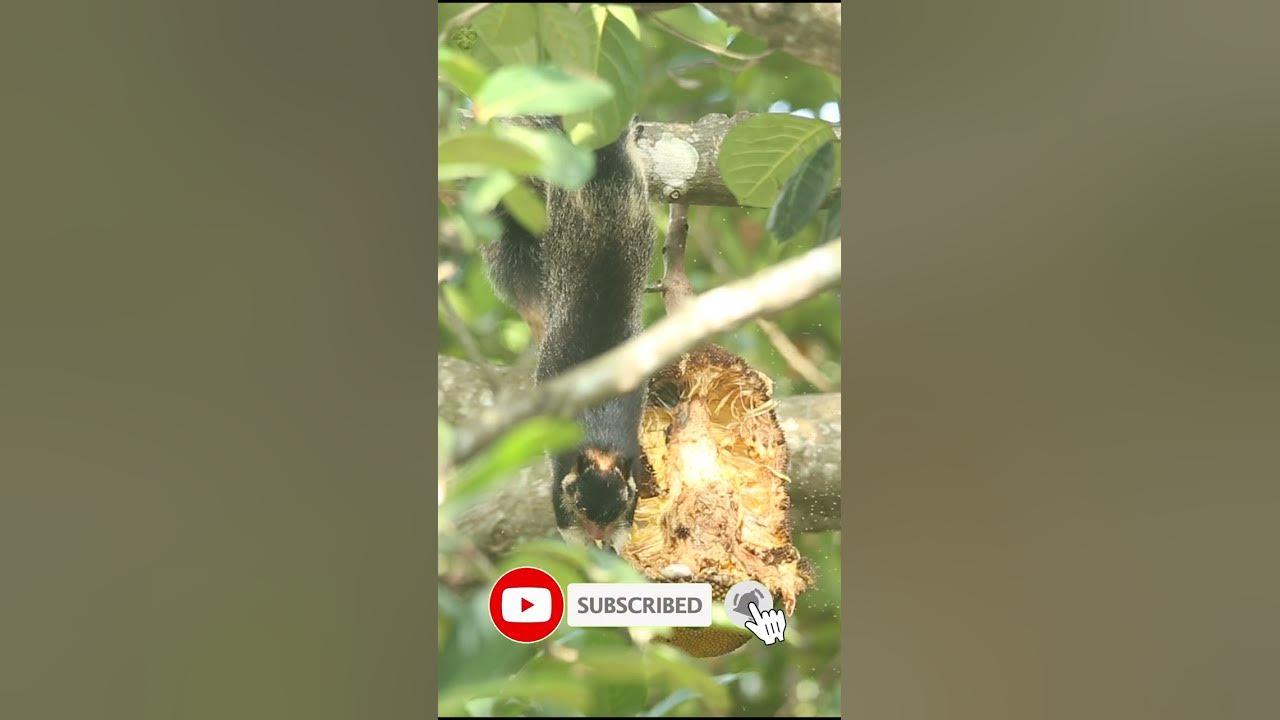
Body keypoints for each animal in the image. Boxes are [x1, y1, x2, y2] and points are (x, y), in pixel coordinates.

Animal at [483, 115, 657, 553]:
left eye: (616, 507)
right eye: (580, 504)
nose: (597, 534)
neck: (601, 446)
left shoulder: (632, 469)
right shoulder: (560, 472)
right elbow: (561, 520)